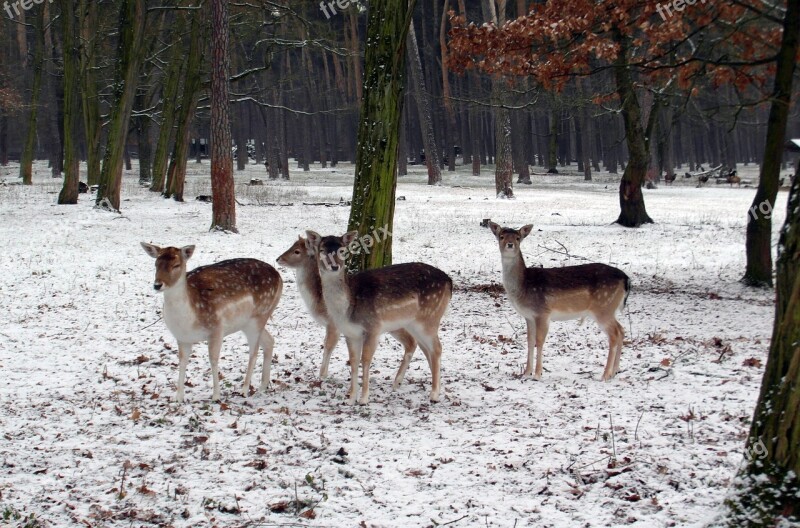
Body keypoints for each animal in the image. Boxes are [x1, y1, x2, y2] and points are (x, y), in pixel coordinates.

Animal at [140, 242, 282, 400]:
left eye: (176, 265)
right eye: (156, 263)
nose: (157, 285)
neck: (189, 319)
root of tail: (279, 276)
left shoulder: (217, 328)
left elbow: (213, 359)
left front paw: (216, 395)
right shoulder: (182, 337)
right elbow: (182, 361)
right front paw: (178, 397)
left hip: (258, 316)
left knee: (254, 351)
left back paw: (244, 389)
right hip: (248, 322)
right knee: (269, 341)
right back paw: (262, 386)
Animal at [276, 237, 418, 382]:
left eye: (297, 251)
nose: (278, 259)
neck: (318, 300)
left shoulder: (333, 323)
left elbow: (328, 346)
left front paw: (322, 375)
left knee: (412, 341)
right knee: (412, 342)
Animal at [304, 230, 450, 404]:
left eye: (343, 250)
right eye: (322, 250)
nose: (334, 266)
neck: (347, 308)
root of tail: (450, 282)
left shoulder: (373, 327)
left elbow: (366, 359)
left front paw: (364, 398)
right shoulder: (350, 333)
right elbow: (353, 361)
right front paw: (351, 398)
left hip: (430, 317)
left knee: (437, 348)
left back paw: (434, 394)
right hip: (413, 323)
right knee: (425, 348)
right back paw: (400, 383)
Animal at [488, 222, 632, 380]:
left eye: (518, 237)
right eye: (501, 236)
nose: (510, 244)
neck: (523, 285)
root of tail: (626, 279)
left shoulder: (543, 312)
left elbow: (539, 340)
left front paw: (537, 374)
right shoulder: (529, 316)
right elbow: (530, 341)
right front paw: (526, 373)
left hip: (603, 307)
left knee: (614, 334)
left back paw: (605, 375)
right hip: (610, 309)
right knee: (621, 330)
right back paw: (615, 371)